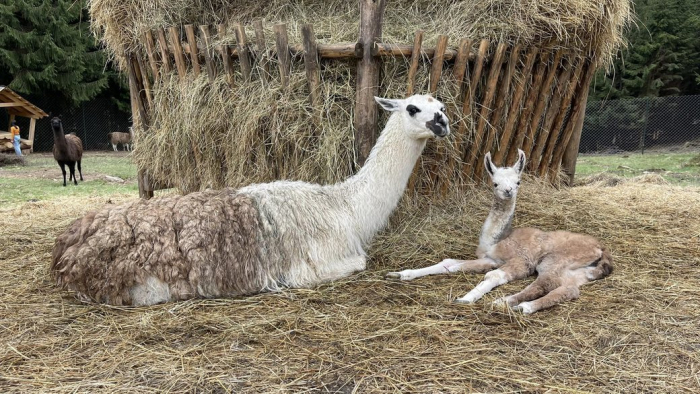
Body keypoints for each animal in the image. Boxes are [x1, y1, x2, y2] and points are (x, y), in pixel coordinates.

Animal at [52, 94, 452, 306]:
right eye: (413, 108)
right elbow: (359, 264)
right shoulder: (313, 266)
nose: (443, 123)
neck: (345, 207)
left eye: (442, 106)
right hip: (143, 286)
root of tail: (68, 245)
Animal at [388, 150, 612, 314]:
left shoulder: (521, 260)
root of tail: (601, 249)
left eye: (518, 182)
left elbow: (493, 276)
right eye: (495, 182)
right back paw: (521, 305)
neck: (497, 240)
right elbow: (449, 264)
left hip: (555, 260)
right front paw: (400, 273)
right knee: (569, 290)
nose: (508, 191)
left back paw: (509, 303)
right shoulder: (490, 259)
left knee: (543, 283)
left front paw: (465, 298)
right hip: (577, 272)